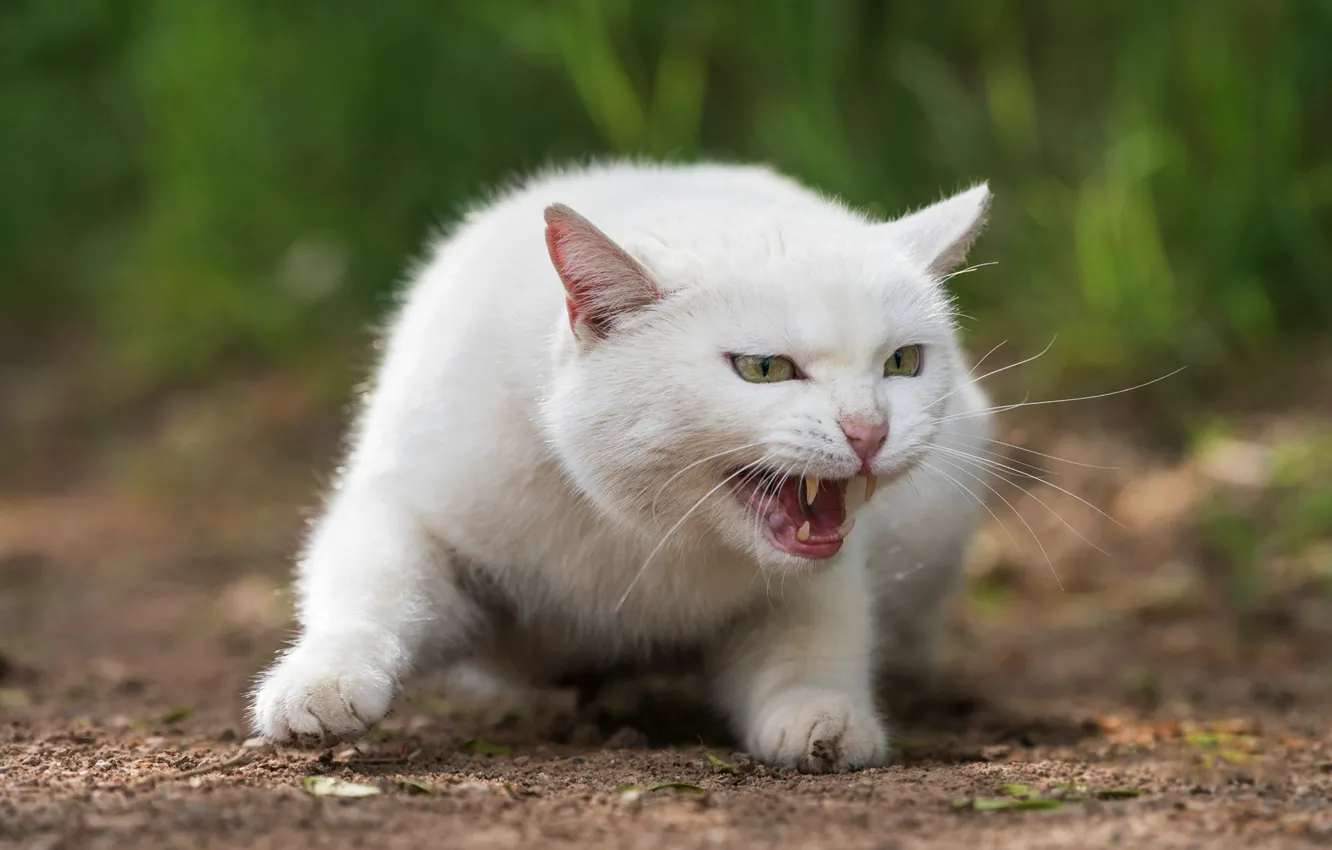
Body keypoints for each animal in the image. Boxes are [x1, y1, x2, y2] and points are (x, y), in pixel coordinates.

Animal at [254, 158, 996, 772]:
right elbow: (373, 590)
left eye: (902, 362)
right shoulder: (409, 500)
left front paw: (825, 719)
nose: (870, 431)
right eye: (764, 369)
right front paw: (321, 685)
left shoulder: (820, 574)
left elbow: (811, 642)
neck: (642, 526)